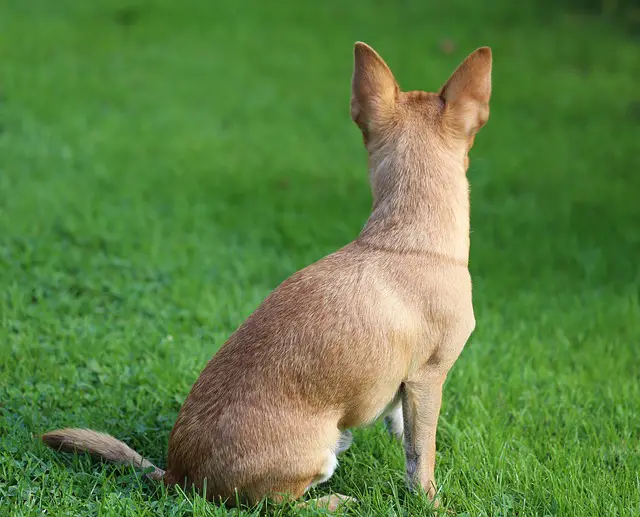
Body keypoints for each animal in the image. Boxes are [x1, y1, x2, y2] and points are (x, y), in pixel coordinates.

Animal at [42, 42, 492, 510]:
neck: (404, 235)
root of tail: (177, 477)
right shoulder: (428, 379)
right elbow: (422, 455)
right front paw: (430, 502)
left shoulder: (408, 389)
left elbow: (405, 433)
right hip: (320, 451)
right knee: (279, 505)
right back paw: (332, 503)